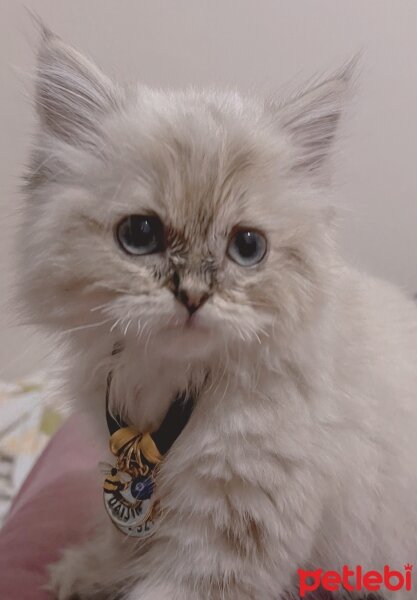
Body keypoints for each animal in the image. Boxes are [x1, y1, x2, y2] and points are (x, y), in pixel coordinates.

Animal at [19, 27, 416, 600]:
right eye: (140, 235)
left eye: (247, 247)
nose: (192, 296)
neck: (169, 388)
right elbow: (121, 543)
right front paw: (87, 572)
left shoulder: (226, 538)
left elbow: (157, 586)